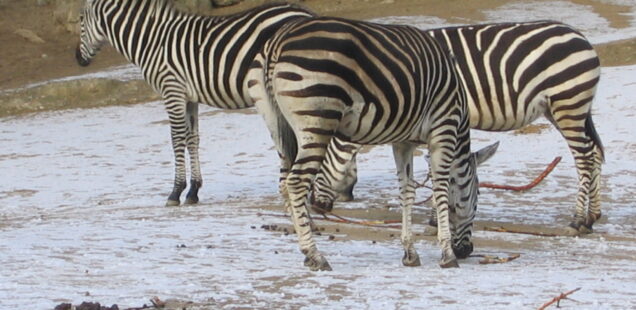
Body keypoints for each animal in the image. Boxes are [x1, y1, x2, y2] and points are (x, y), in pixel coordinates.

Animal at [76, 0, 314, 207]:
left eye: (80, 19)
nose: (78, 59)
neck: (151, 41)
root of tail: (305, 12)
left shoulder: (172, 90)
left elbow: (177, 139)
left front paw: (175, 192)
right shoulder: (189, 97)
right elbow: (193, 139)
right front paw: (193, 191)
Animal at [245, 15, 496, 270]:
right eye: (477, 196)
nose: (466, 251)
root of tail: (278, 40)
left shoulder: (403, 142)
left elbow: (407, 191)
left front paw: (410, 252)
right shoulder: (443, 128)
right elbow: (440, 190)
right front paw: (447, 254)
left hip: (278, 125)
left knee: (284, 182)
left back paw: (307, 252)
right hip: (318, 119)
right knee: (296, 182)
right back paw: (315, 255)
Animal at [316, 20, 604, 235]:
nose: (317, 207)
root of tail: (580, 38)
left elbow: (438, 172)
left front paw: (436, 220)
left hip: (568, 103)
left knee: (585, 158)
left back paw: (577, 220)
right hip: (565, 108)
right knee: (596, 151)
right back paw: (592, 217)